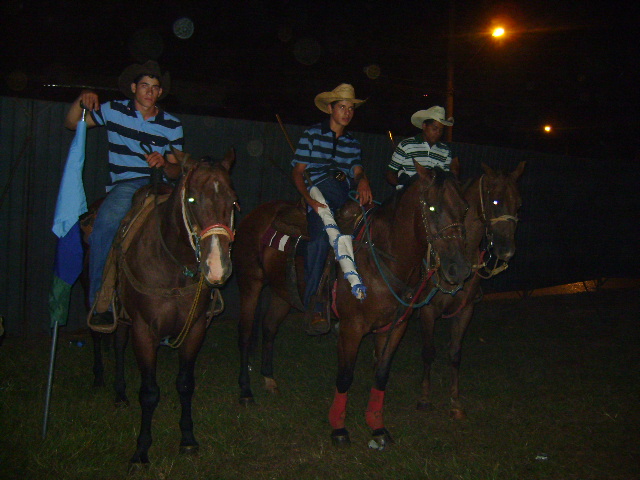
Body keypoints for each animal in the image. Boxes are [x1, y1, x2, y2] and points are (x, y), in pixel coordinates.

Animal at [89, 148, 237, 468]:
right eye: (192, 199)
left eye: (233, 200)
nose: (217, 267)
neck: (173, 263)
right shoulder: (145, 331)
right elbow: (149, 392)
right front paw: (141, 451)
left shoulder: (195, 328)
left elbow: (185, 384)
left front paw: (188, 439)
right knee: (102, 336)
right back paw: (104, 382)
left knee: (118, 343)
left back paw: (120, 393)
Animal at [234, 160, 471, 447]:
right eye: (433, 208)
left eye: (465, 208)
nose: (459, 269)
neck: (384, 256)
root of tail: (255, 214)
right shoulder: (351, 328)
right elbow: (345, 376)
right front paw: (338, 427)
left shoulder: (394, 327)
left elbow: (381, 375)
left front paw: (377, 427)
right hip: (250, 284)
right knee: (246, 334)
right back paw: (246, 391)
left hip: (282, 293)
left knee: (269, 328)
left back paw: (269, 379)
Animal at [417, 161, 525, 419]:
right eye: (495, 201)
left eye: (519, 204)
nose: (507, 251)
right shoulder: (427, 310)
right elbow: (428, 351)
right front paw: (425, 398)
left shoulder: (465, 310)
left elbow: (455, 353)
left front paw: (455, 401)